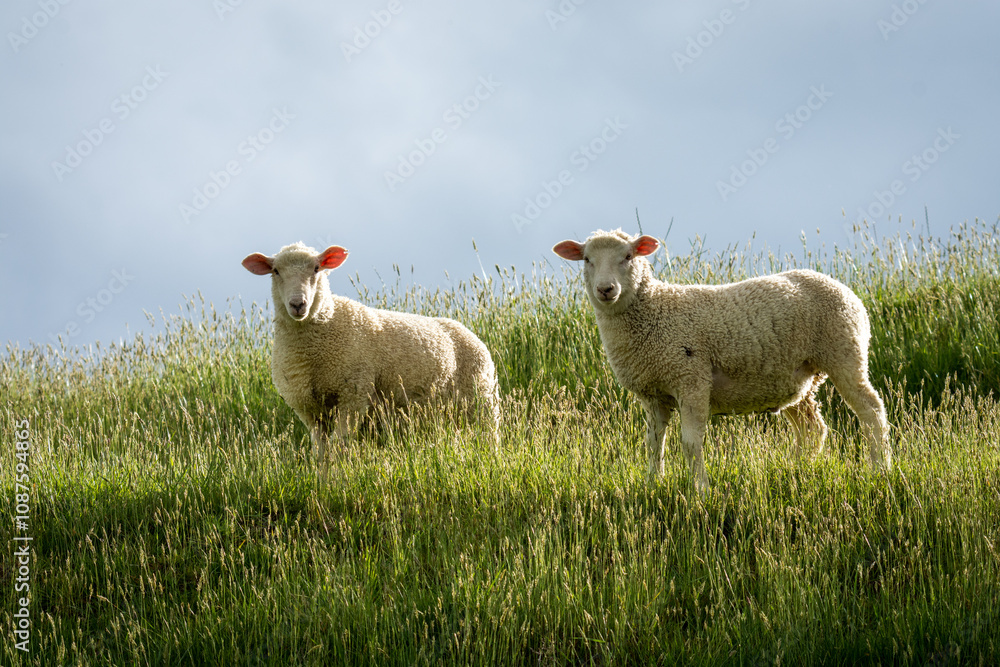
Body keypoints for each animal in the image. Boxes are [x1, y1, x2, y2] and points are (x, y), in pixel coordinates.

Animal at [242, 242, 500, 467]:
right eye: (275, 271)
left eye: (317, 268)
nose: (298, 304)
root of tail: (466, 330)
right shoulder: (310, 410)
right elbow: (322, 453)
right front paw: (323, 483)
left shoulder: (353, 396)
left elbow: (339, 447)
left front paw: (337, 481)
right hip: (442, 414)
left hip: (482, 401)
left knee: (489, 438)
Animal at [552, 228, 891, 492]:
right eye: (587, 259)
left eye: (628, 256)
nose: (605, 289)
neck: (653, 311)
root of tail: (845, 289)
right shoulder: (653, 393)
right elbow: (653, 442)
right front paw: (653, 484)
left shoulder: (691, 379)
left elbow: (691, 443)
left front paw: (700, 489)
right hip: (798, 380)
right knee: (812, 429)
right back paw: (796, 470)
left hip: (845, 352)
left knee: (872, 412)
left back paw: (880, 469)